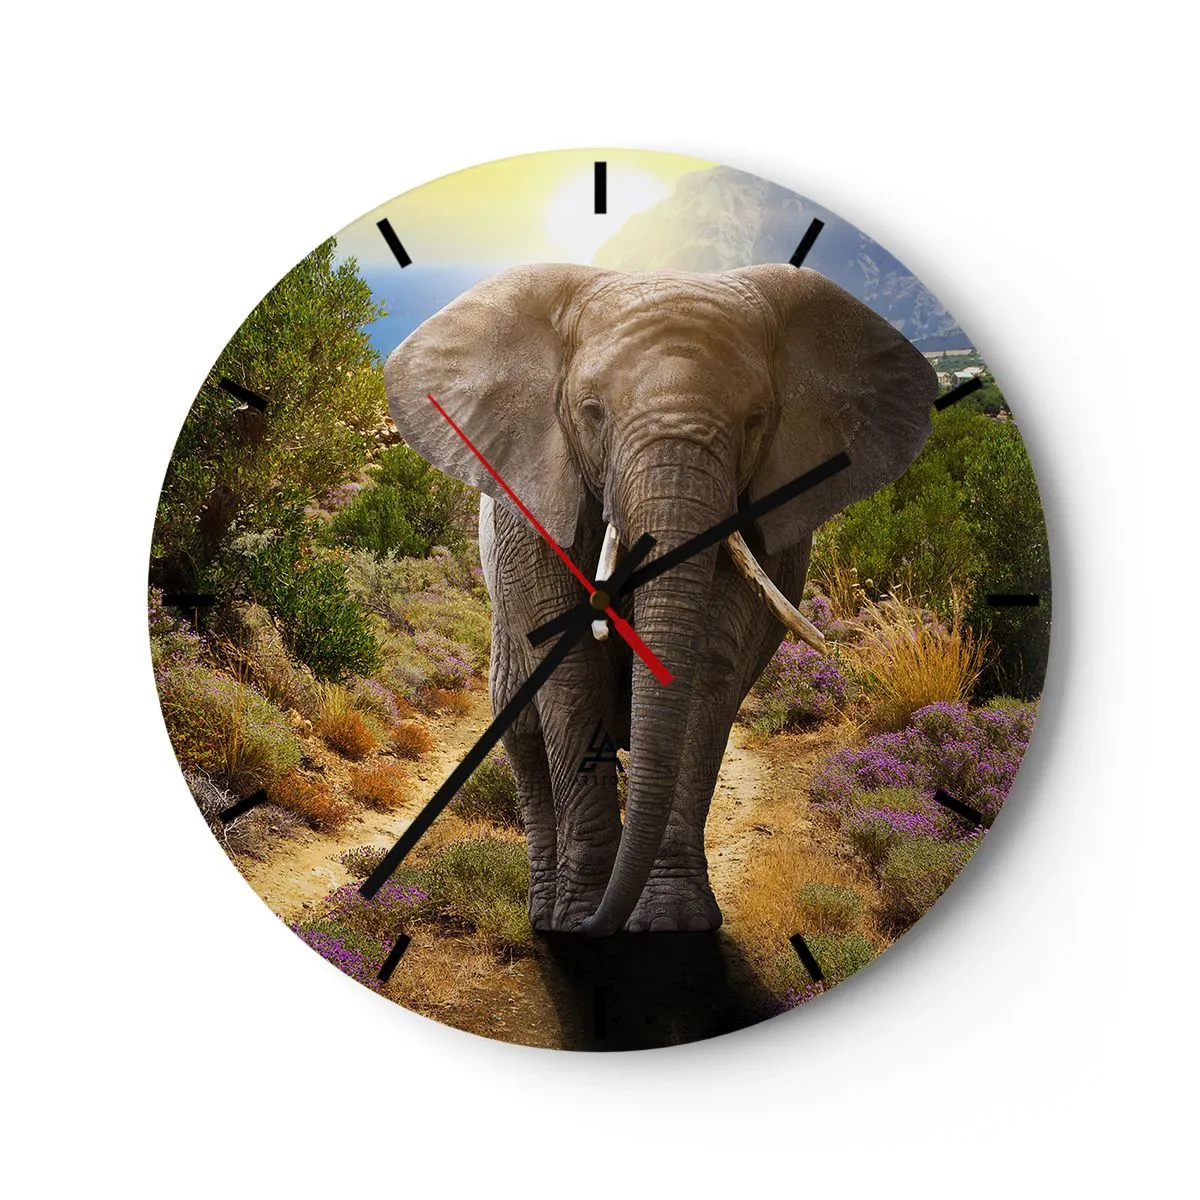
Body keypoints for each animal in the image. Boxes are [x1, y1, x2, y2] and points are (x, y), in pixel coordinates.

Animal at [383, 263, 936, 936]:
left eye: (756, 420)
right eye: (592, 413)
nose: (597, 926)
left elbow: (708, 671)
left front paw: (673, 922)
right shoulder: (533, 510)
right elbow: (571, 676)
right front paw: (580, 919)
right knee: (522, 729)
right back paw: (546, 914)